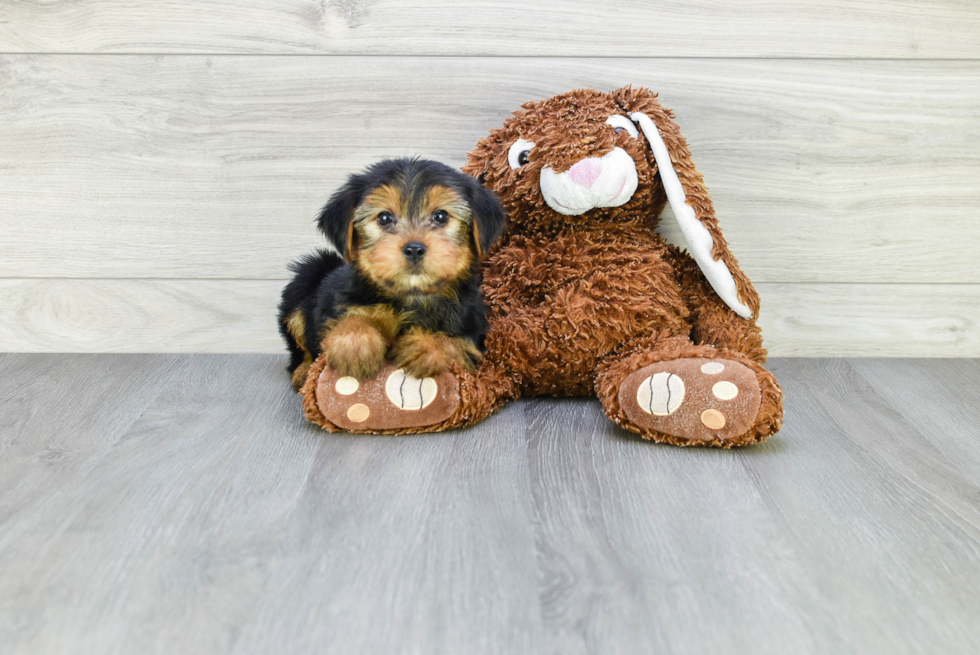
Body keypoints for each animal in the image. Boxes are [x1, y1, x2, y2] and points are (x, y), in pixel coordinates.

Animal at [276, 158, 506, 394]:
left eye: (440, 216)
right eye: (384, 218)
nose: (414, 249)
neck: (411, 296)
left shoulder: (473, 328)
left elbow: (458, 342)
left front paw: (425, 347)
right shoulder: (342, 303)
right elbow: (348, 317)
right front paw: (355, 344)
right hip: (309, 274)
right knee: (299, 343)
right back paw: (303, 372)